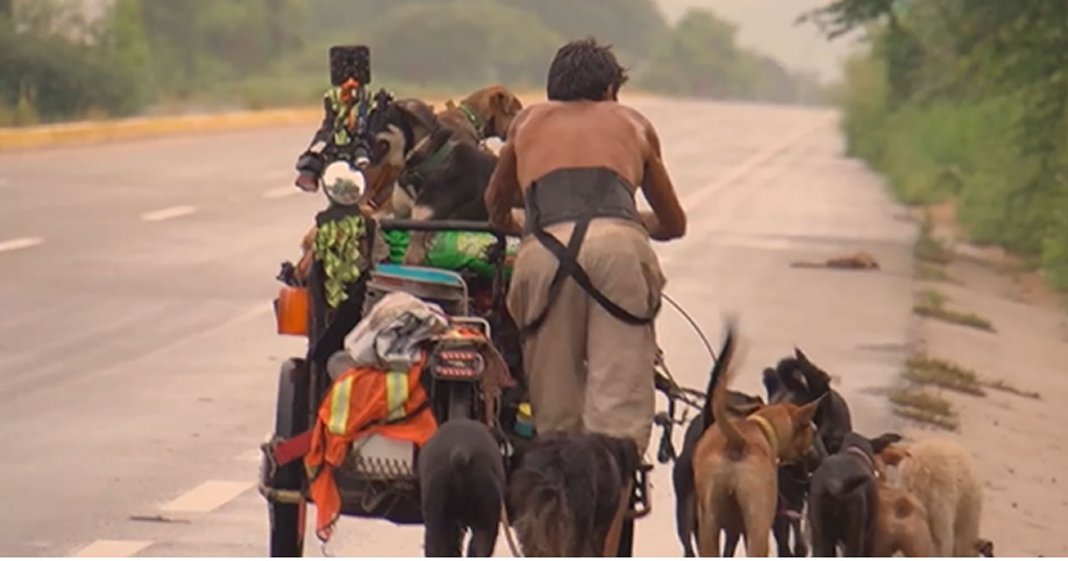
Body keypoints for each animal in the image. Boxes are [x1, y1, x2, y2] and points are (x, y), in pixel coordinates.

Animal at [692, 322, 824, 555]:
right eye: (813, 431)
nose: (817, 459)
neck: (758, 426)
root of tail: (737, 442)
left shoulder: (732, 528)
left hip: (708, 527)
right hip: (758, 528)